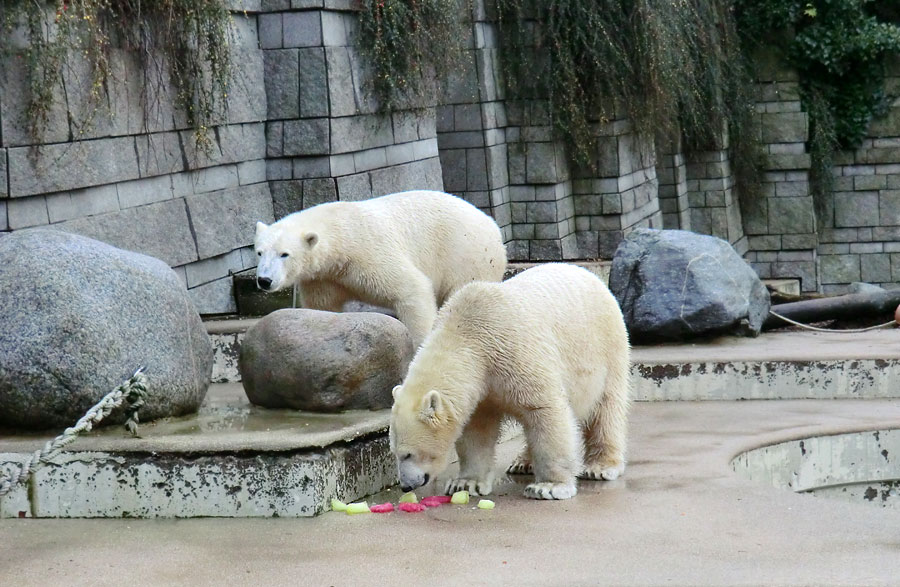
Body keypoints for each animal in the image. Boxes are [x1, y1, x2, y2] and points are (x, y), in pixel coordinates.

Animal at [253, 192, 506, 350]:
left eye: (284, 254)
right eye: (259, 252)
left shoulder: (369, 251)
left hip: (467, 256)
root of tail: (492, 224)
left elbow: (412, 289)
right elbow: (323, 308)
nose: (264, 280)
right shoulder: (323, 278)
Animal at [388, 264, 632, 504]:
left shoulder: (513, 352)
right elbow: (477, 430)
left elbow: (546, 409)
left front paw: (549, 487)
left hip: (607, 347)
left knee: (606, 408)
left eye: (408, 454)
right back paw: (523, 463)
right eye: (394, 452)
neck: (468, 334)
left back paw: (600, 467)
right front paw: (466, 483)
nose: (405, 485)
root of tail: (590, 275)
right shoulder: (482, 388)